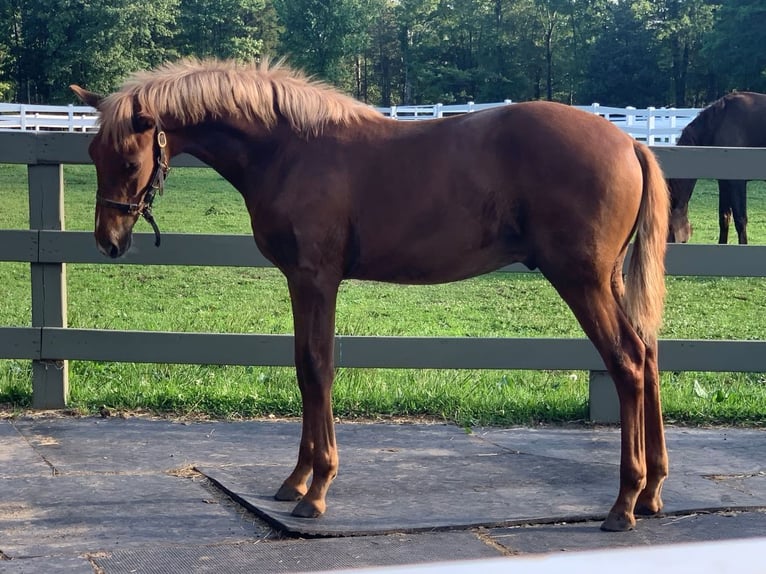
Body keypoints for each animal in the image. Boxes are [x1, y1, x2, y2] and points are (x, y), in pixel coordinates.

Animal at [73, 59, 672, 536]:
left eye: (129, 162)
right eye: (92, 152)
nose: (108, 241)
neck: (291, 149)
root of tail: (630, 142)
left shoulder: (316, 279)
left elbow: (318, 368)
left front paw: (317, 491)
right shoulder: (299, 281)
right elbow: (302, 368)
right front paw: (296, 480)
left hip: (581, 281)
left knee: (626, 363)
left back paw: (624, 503)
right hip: (609, 280)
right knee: (647, 355)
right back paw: (652, 492)